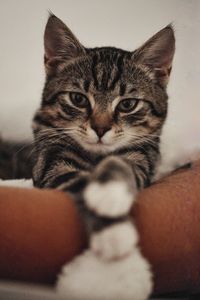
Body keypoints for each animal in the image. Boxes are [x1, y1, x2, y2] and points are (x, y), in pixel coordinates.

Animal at [32, 14, 174, 260]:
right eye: (78, 99)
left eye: (128, 104)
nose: (100, 128)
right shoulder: (51, 159)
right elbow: (77, 182)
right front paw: (113, 233)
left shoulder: (143, 156)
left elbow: (122, 162)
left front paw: (111, 191)